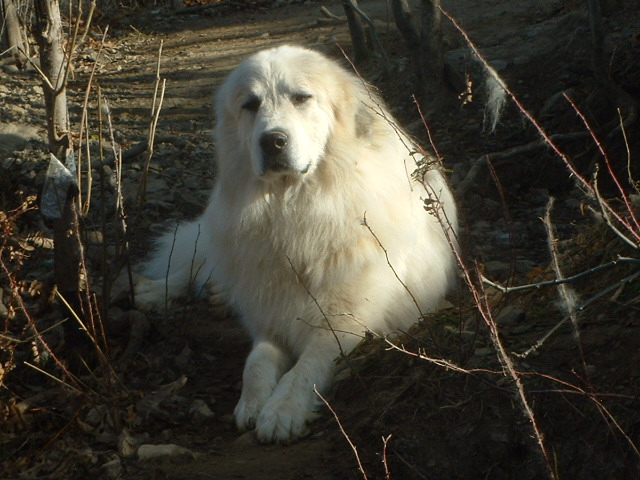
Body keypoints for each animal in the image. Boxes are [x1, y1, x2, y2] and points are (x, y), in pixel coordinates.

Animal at [136, 45, 456, 442]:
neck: (296, 208)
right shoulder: (269, 316)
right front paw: (252, 403)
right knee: (198, 267)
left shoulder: (351, 321)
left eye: (302, 98)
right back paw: (156, 291)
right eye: (250, 104)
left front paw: (281, 410)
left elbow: (309, 363)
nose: (272, 141)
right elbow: (256, 363)